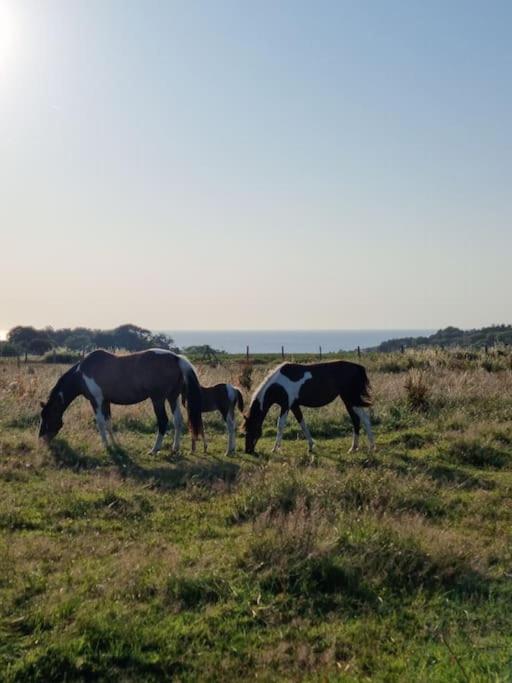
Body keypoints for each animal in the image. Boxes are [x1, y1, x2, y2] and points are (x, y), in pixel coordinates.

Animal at [39, 348, 203, 454]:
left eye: (47, 417)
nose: (41, 440)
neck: (82, 374)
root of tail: (176, 358)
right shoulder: (106, 402)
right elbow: (109, 423)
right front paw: (114, 444)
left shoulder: (96, 401)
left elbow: (100, 423)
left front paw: (105, 445)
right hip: (172, 397)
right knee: (178, 420)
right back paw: (175, 448)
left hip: (158, 399)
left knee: (163, 421)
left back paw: (154, 449)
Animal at [242, 360, 374, 456]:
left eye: (251, 431)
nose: (248, 451)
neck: (278, 385)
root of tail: (357, 367)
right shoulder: (294, 406)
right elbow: (302, 424)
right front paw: (311, 446)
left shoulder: (286, 405)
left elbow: (280, 425)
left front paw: (275, 449)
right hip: (350, 400)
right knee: (359, 420)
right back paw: (355, 448)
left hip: (350, 399)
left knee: (363, 420)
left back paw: (370, 448)